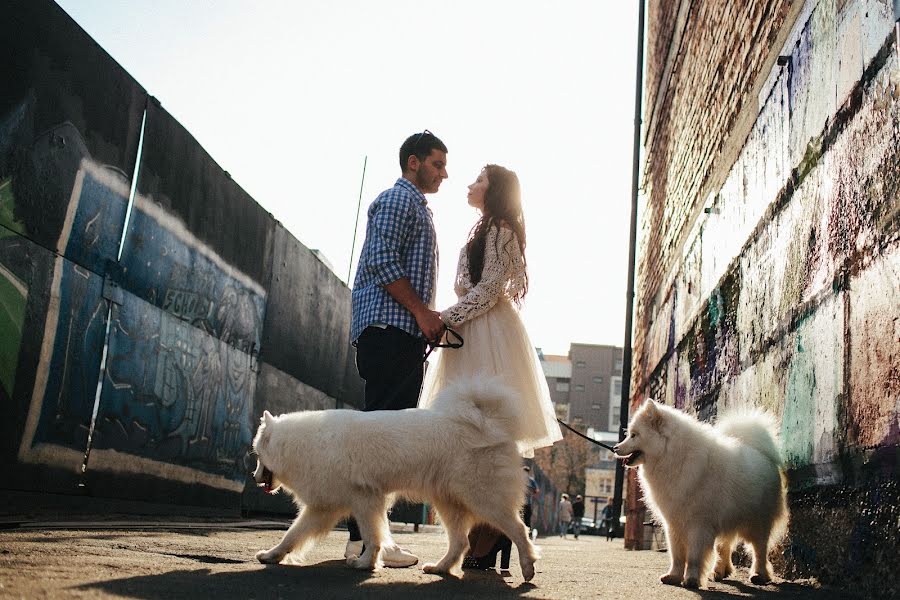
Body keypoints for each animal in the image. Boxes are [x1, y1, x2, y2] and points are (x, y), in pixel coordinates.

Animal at [250, 378, 536, 580]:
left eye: (257, 455)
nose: (253, 477)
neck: (301, 443)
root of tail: (490, 424)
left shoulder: (364, 501)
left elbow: (371, 537)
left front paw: (365, 563)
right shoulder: (326, 507)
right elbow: (293, 535)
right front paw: (272, 556)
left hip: (483, 500)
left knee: (519, 529)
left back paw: (528, 566)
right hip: (449, 503)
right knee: (461, 542)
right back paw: (441, 568)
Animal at [616, 400, 784, 588]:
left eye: (634, 435)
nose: (615, 448)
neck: (672, 457)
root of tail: (761, 453)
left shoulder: (699, 524)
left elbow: (694, 557)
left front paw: (692, 579)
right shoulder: (673, 523)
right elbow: (677, 556)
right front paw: (673, 576)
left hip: (757, 523)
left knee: (759, 550)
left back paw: (759, 575)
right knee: (725, 546)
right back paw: (719, 571)